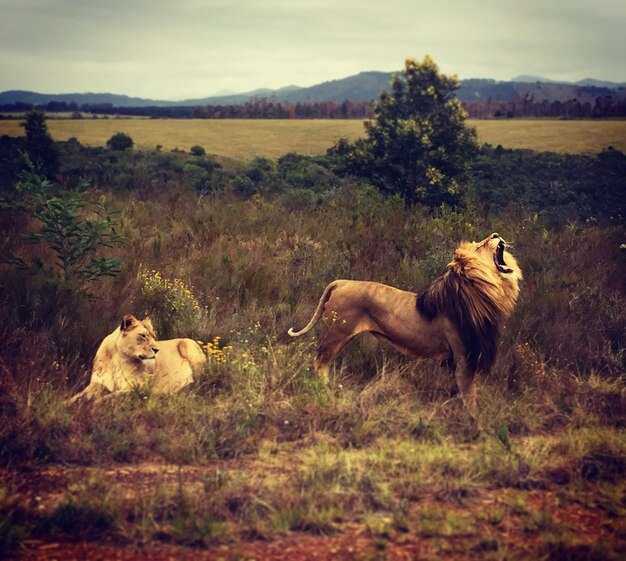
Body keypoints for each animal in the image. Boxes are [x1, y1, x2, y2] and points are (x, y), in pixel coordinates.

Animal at [68, 316, 206, 402]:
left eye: (154, 336)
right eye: (143, 336)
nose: (157, 350)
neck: (117, 359)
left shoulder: (138, 388)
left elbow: (108, 398)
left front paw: (93, 405)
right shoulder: (98, 383)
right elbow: (78, 396)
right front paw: (67, 404)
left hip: (188, 345)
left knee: (198, 385)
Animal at [290, 232, 520, 412]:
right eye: (480, 245)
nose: (496, 234)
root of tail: (341, 281)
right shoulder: (464, 355)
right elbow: (469, 395)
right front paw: (473, 420)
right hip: (335, 335)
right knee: (320, 363)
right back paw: (324, 391)